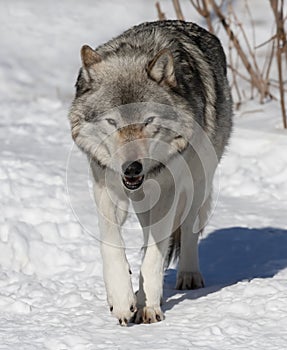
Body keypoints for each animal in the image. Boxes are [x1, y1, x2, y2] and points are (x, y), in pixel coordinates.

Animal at [68, 19, 233, 326]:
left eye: (148, 121)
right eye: (112, 122)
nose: (132, 167)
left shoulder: (168, 192)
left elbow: (155, 257)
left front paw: (148, 306)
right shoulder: (106, 189)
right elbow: (112, 245)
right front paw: (122, 300)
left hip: (197, 184)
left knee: (187, 231)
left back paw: (186, 277)